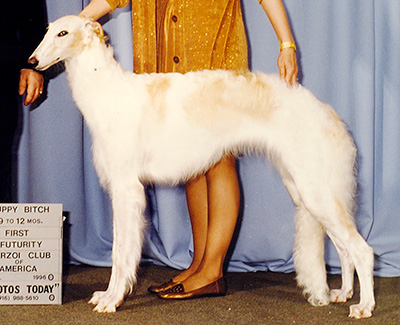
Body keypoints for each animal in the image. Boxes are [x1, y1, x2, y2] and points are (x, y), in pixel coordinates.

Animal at [28, 15, 376, 316]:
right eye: (46, 31)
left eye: (63, 33)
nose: (31, 62)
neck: (108, 93)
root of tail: (328, 113)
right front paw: (107, 295)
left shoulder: (127, 189)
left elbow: (120, 251)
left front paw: (112, 299)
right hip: (308, 190)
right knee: (344, 248)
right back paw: (343, 293)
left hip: (315, 190)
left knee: (362, 250)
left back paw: (364, 306)